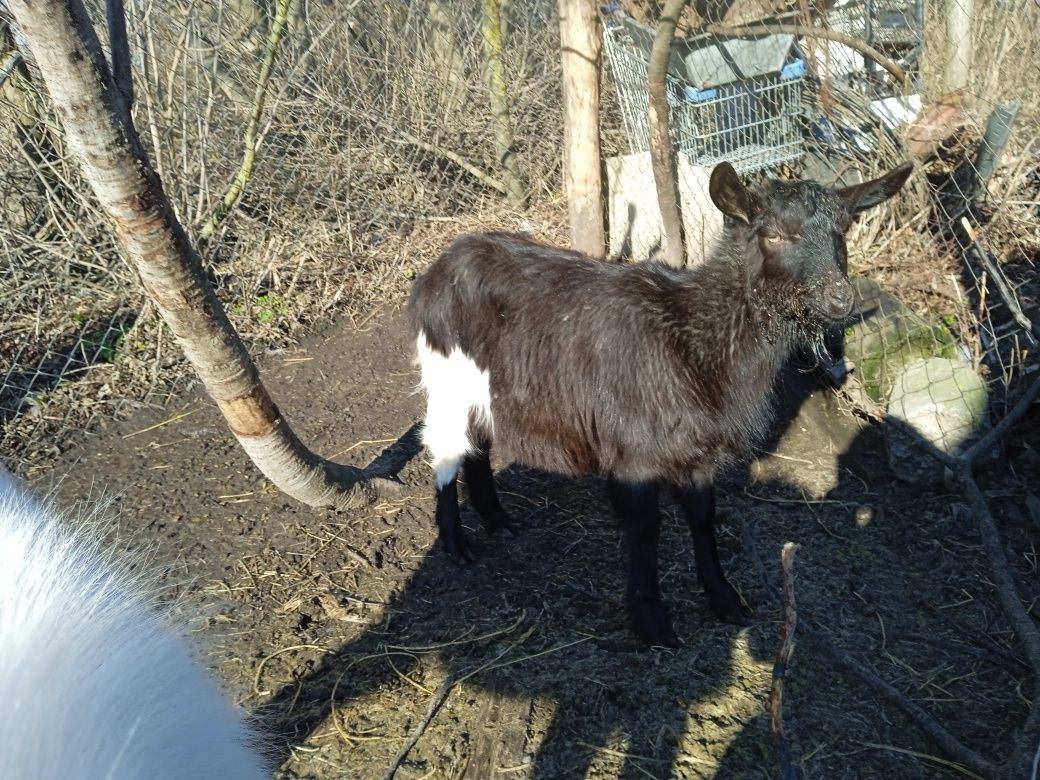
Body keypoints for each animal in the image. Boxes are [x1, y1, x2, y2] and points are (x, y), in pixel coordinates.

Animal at [405, 160, 911, 648]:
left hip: (484, 386)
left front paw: (725, 599)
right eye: (772, 235)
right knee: (446, 447)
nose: (840, 300)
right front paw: (652, 623)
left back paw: (496, 520)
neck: (693, 340)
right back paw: (455, 541)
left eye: (844, 229)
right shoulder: (634, 454)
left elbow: (703, 519)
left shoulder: (698, 452)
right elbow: (645, 532)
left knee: (479, 442)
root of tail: (442, 265)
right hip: (445, 373)